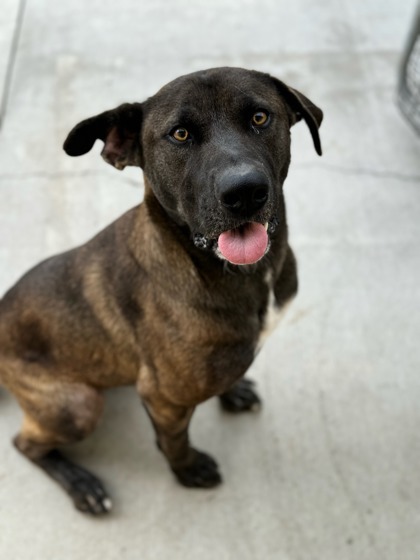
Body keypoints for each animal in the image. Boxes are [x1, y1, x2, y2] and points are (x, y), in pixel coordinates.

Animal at [0, 68, 322, 516]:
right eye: (180, 134)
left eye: (260, 117)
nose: (244, 192)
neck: (240, 274)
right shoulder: (163, 398)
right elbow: (174, 441)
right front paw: (188, 470)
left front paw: (233, 390)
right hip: (77, 405)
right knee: (25, 443)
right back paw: (82, 484)